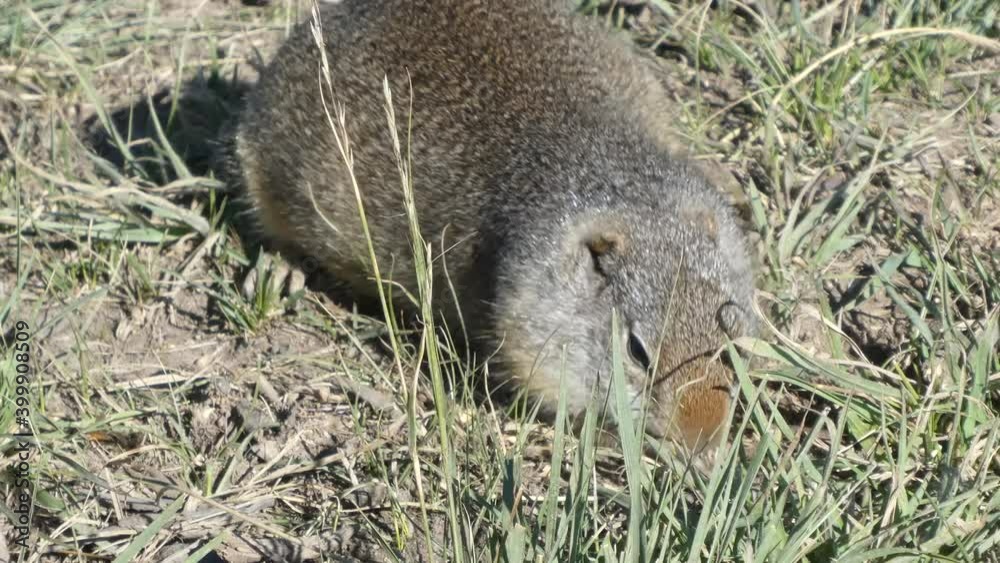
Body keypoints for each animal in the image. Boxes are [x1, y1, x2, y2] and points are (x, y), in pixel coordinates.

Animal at [234, 0, 755, 454]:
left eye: (731, 340)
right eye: (637, 351)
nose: (704, 436)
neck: (623, 183)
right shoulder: (532, 335)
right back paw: (280, 270)